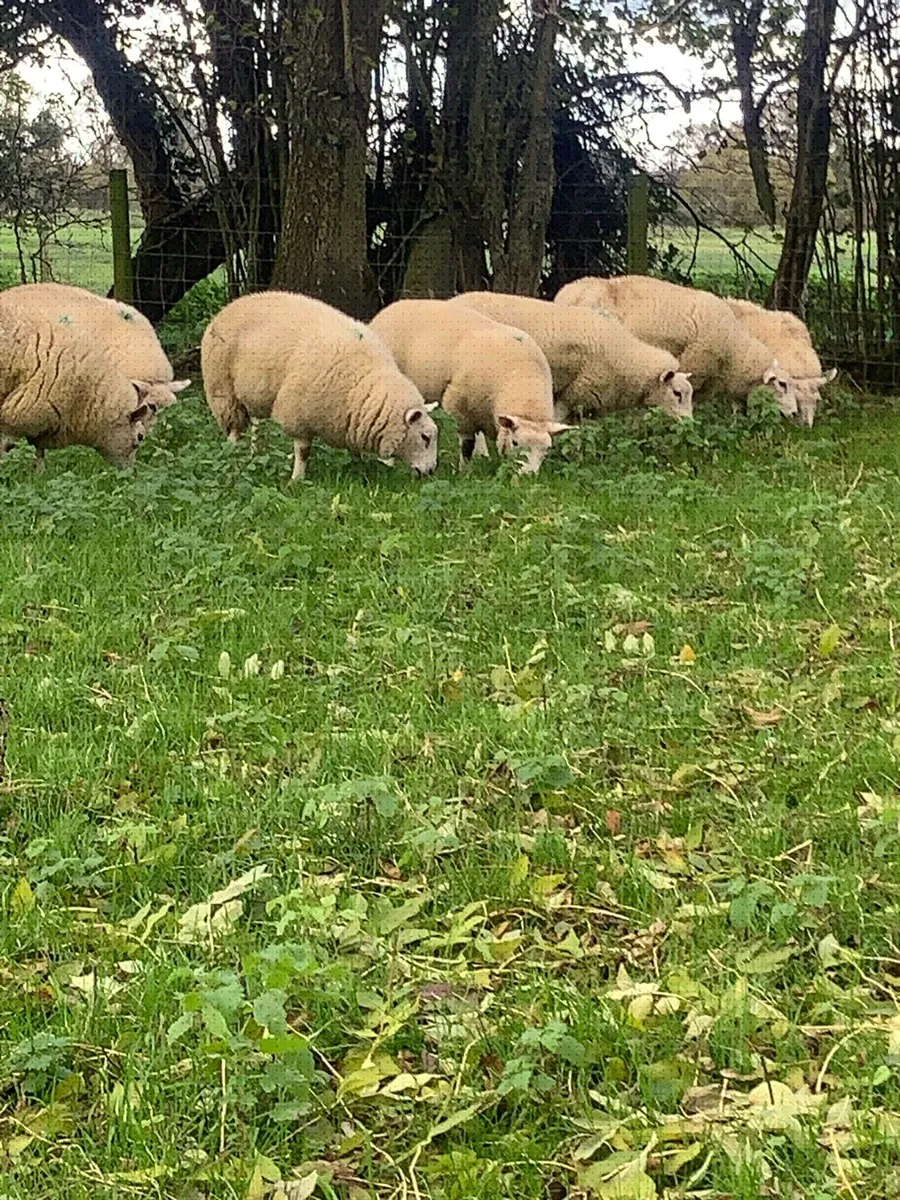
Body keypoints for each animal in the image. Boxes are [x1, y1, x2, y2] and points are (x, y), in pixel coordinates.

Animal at [201, 290, 439, 481]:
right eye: (425, 437)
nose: (431, 471)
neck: (363, 382)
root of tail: (234, 303)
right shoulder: (298, 415)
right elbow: (304, 451)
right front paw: (297, 479)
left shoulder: (349, 418)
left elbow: (354, 448)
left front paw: (359, 466)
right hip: (222, 390)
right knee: (234, 428)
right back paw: (231, 454)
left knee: (254, 426)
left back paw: (251, 455)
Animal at [369, 299, 571, 474]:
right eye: (515, 443)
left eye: (546, 449)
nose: (527, 475)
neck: (522, 377)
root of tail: (395, 305)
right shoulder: (459, 407)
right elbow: (467, 444)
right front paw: (464, 471)